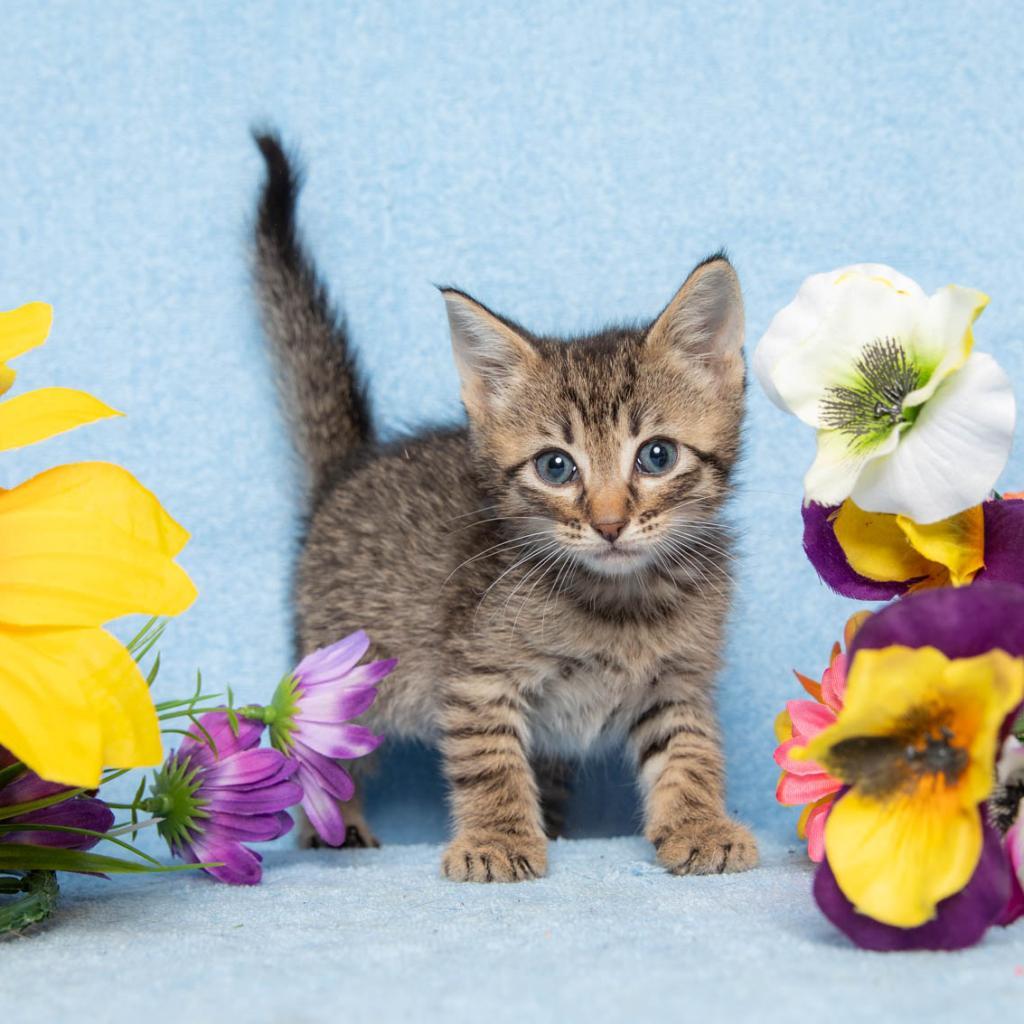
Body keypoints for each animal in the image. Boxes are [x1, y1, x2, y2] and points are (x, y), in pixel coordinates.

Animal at [251, 132, 757, 880]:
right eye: (556, 467)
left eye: (657, 456)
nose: (609, 523)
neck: (620, 603)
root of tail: (348, 471)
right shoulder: (477, 675)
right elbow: (488, 760)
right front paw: (497, 838)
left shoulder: (678, 681)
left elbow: (689, 749)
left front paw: (699, 822)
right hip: (346, 675)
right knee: (319, 754)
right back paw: (332, 826)